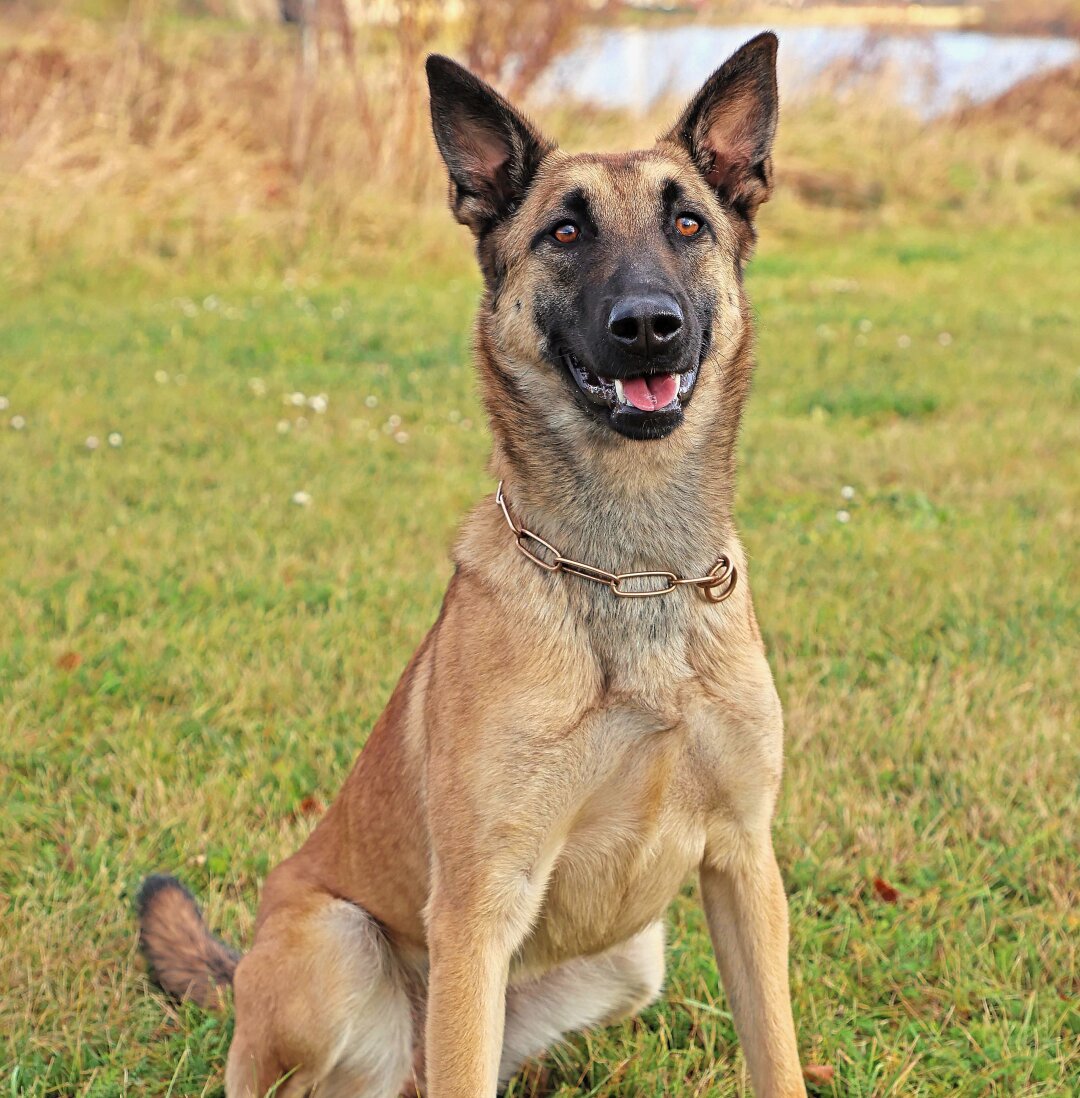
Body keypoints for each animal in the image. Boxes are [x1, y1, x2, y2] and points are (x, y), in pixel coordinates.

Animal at [137, 34, 807, 1098]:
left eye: (689, 224)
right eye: (564, 234)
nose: (648, 324)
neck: (630, 572)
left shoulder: (744, 868)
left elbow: (775, 1054)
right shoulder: (480, 909)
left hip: (629, 957)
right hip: (339, 946)